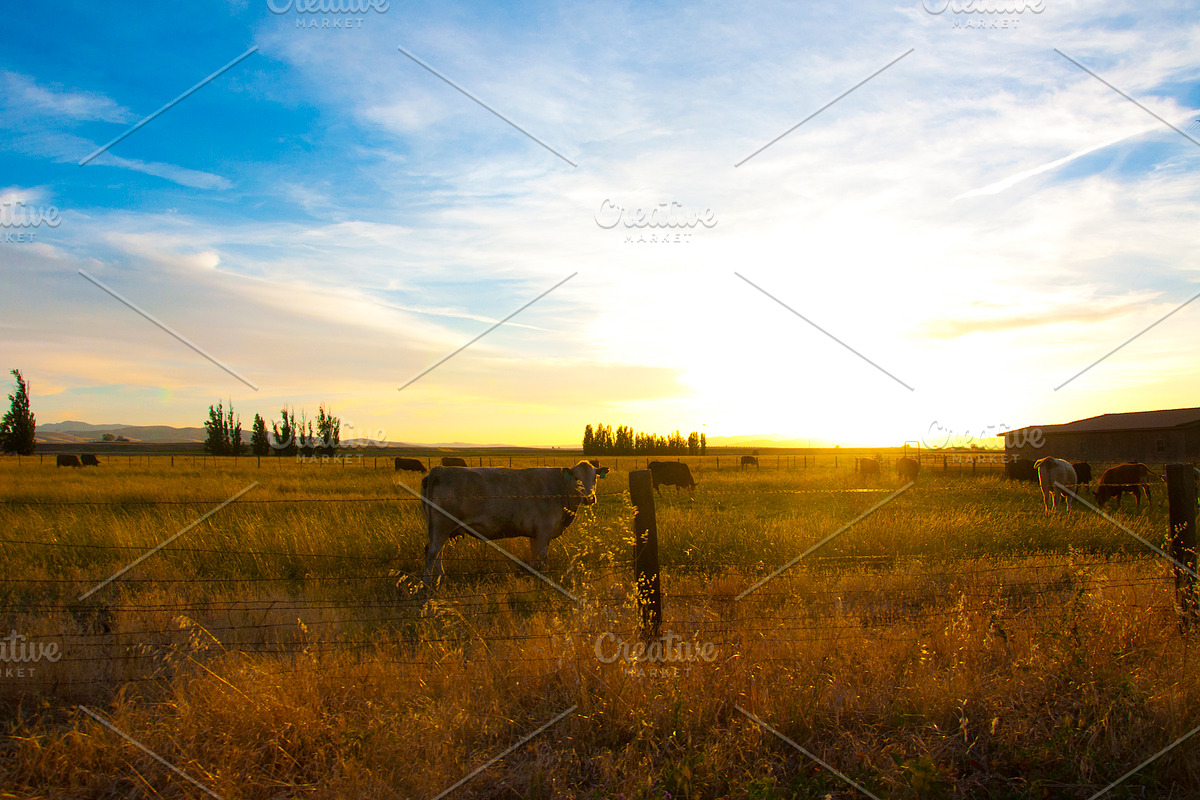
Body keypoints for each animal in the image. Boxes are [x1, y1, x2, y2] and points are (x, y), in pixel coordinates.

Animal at [420, 461, 609, 587]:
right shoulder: (545, 529)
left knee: (439, 552)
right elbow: (543, 555)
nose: (589, 498)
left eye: (595, 478)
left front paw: (533, 574)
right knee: (432, 552)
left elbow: (534, 555)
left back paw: (441, 579)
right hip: (442, 525)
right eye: (576, 478)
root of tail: (438, 470)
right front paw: (545, 579)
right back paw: (427, 584)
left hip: (439, 527)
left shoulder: (535, 532)